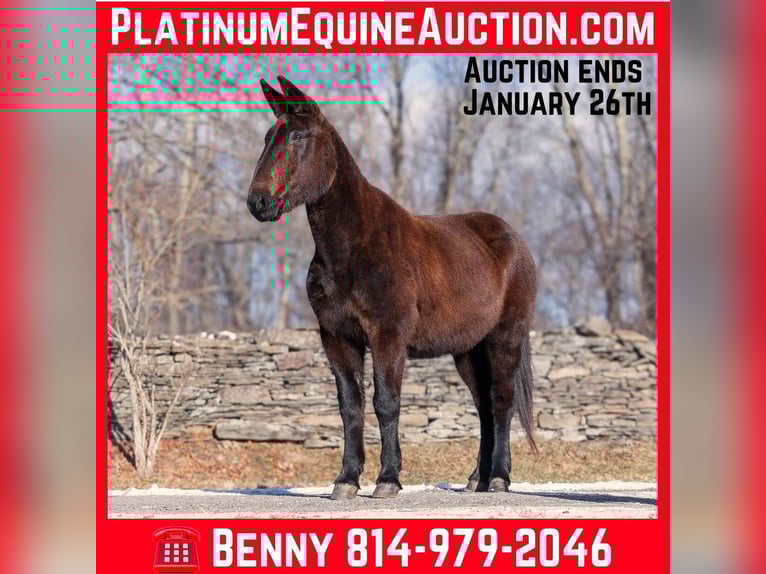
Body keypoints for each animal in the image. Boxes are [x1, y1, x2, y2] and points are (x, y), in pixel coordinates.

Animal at [247, 76, 538, 499]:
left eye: (298, 137)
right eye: (269, 137)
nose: (259, 202)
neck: (355, 245)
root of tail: (515, 241)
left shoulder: (388, 337)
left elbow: (386, 402)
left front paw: (387, 479)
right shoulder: (337, 338)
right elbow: (350, 407)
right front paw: (346, 480)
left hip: (505, 338)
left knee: (501, 402)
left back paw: (498, 478)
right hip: (468, 351)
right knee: (484, 406)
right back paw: (477, 480)